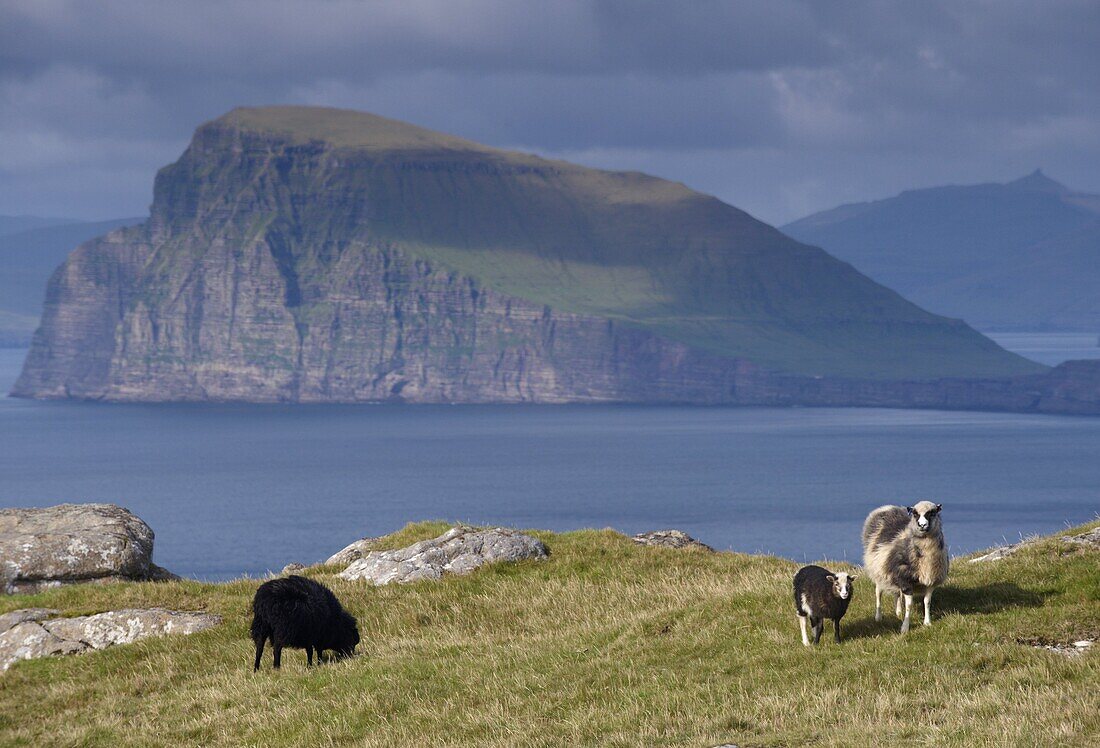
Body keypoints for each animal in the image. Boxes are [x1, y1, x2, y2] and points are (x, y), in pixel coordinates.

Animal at [862, 499, 950, 633]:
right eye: (915, 514)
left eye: (932, 512)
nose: (922, 525)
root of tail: (887, 507)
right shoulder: (905, 580)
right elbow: (909, 605)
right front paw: (905, 627)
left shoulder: (931, 582)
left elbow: (927, 602)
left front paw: (927, 623)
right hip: (878, 570)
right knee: (878, 592)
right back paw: (878, 616)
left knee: (897, 594)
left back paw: (898, 612)